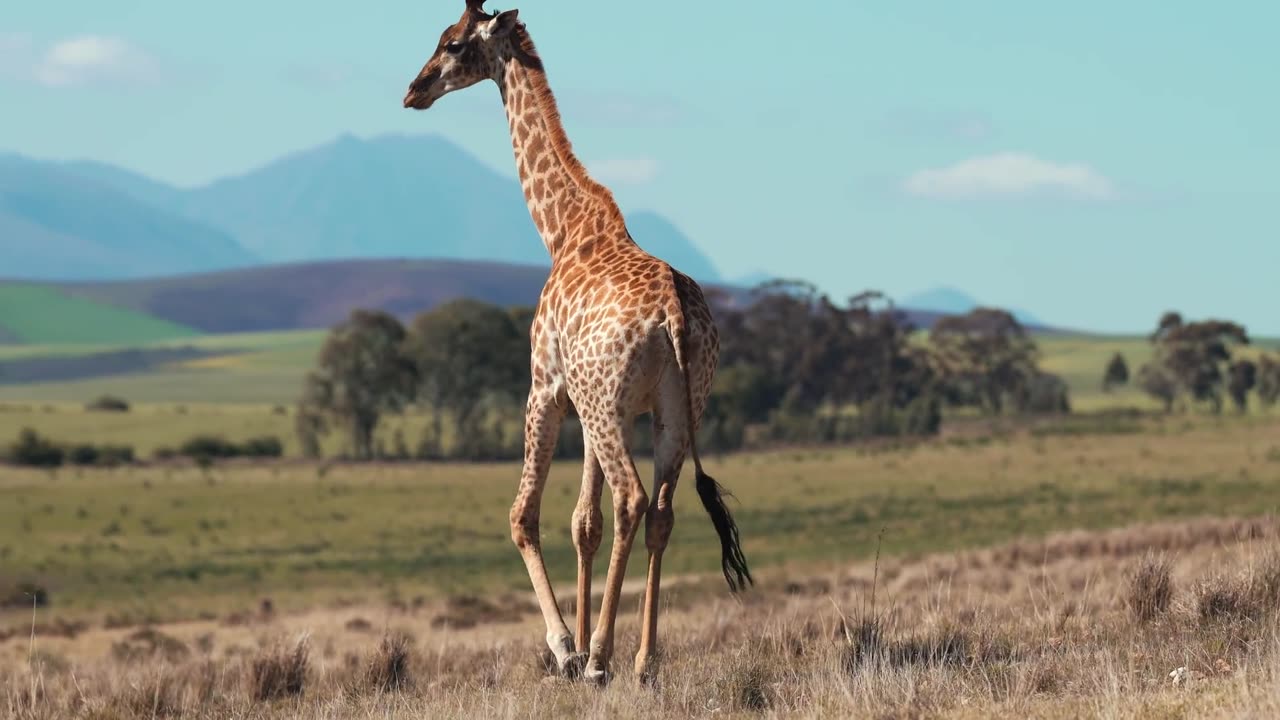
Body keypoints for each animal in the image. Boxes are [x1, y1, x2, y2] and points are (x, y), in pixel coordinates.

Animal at [401, 1, 747, 681]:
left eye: (451, 43)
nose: (413, 90)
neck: (561, 228)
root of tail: (674, 315)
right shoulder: (591, 405)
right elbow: (583, 521)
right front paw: (584, 645)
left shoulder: (548, 390)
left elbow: (524, 515)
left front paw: (568, 648)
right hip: (676, 410)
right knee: (660, 511)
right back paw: (642, 661)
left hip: (609, 407)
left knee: (632, 500)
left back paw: (602, 659)